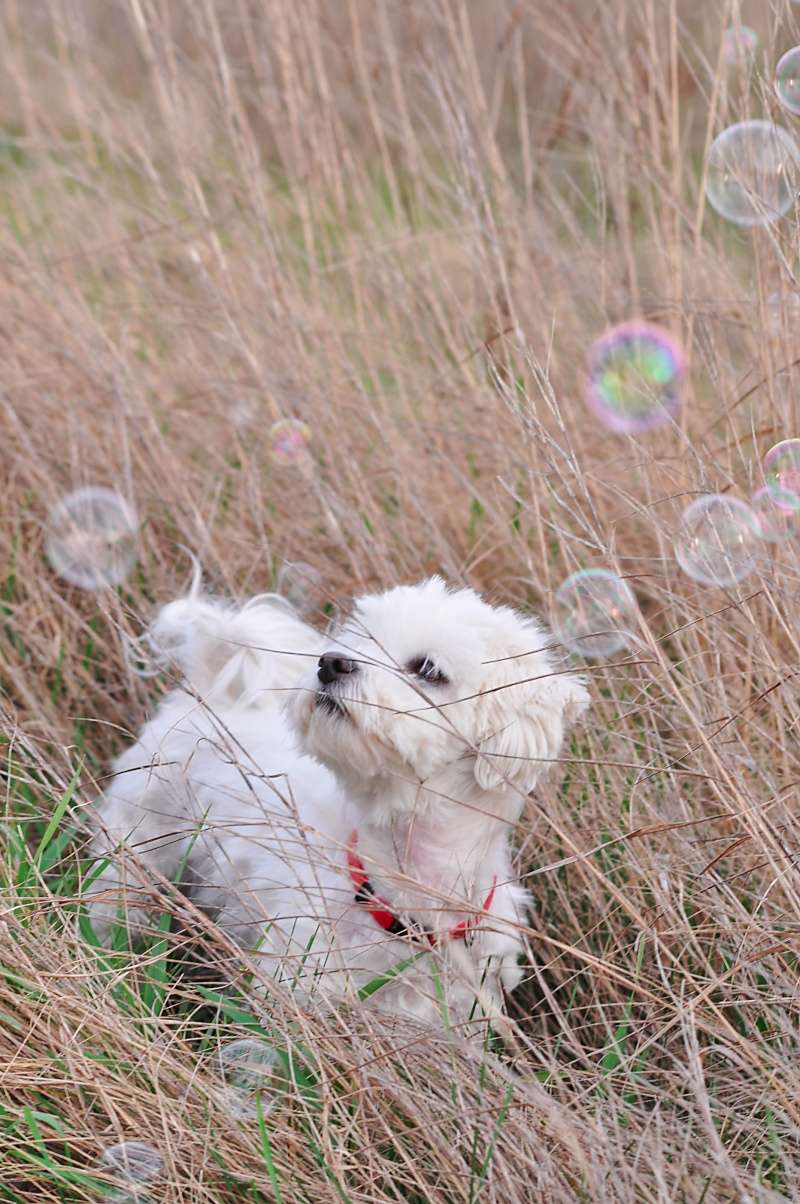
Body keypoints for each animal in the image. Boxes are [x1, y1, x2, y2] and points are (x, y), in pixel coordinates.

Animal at [86, 580, 587, 1025]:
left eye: (428, 669)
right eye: (360, 642)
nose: (331, 662)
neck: (402, 896)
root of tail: (212, 693)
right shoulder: (298, 990)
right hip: (138, 852)